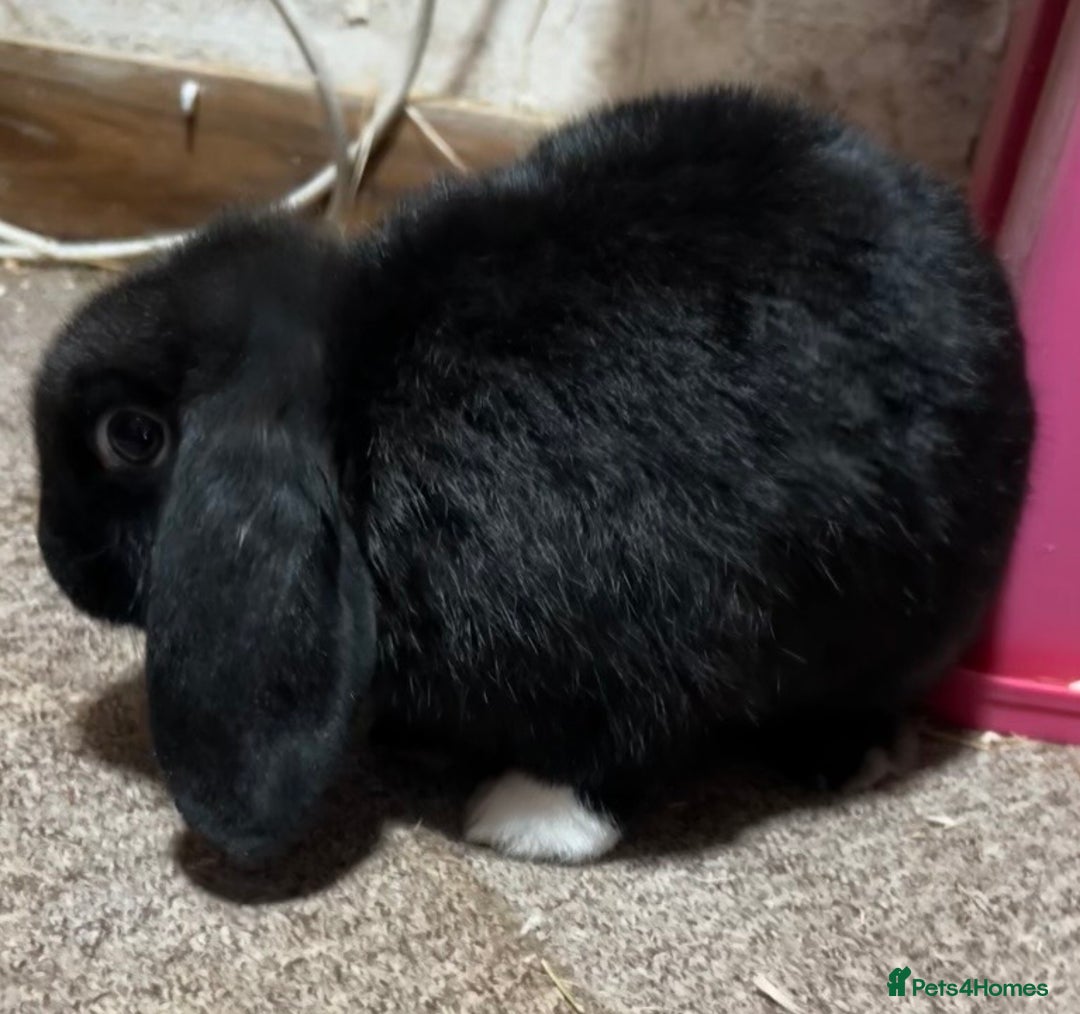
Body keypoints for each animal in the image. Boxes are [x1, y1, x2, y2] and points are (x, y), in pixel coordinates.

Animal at [33, 86, 1034, 865]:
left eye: (130, 436)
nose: (60, 562)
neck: (364, 408)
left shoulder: (660, 624)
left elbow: (617, 744)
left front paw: (524, 820)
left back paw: (842, 756)